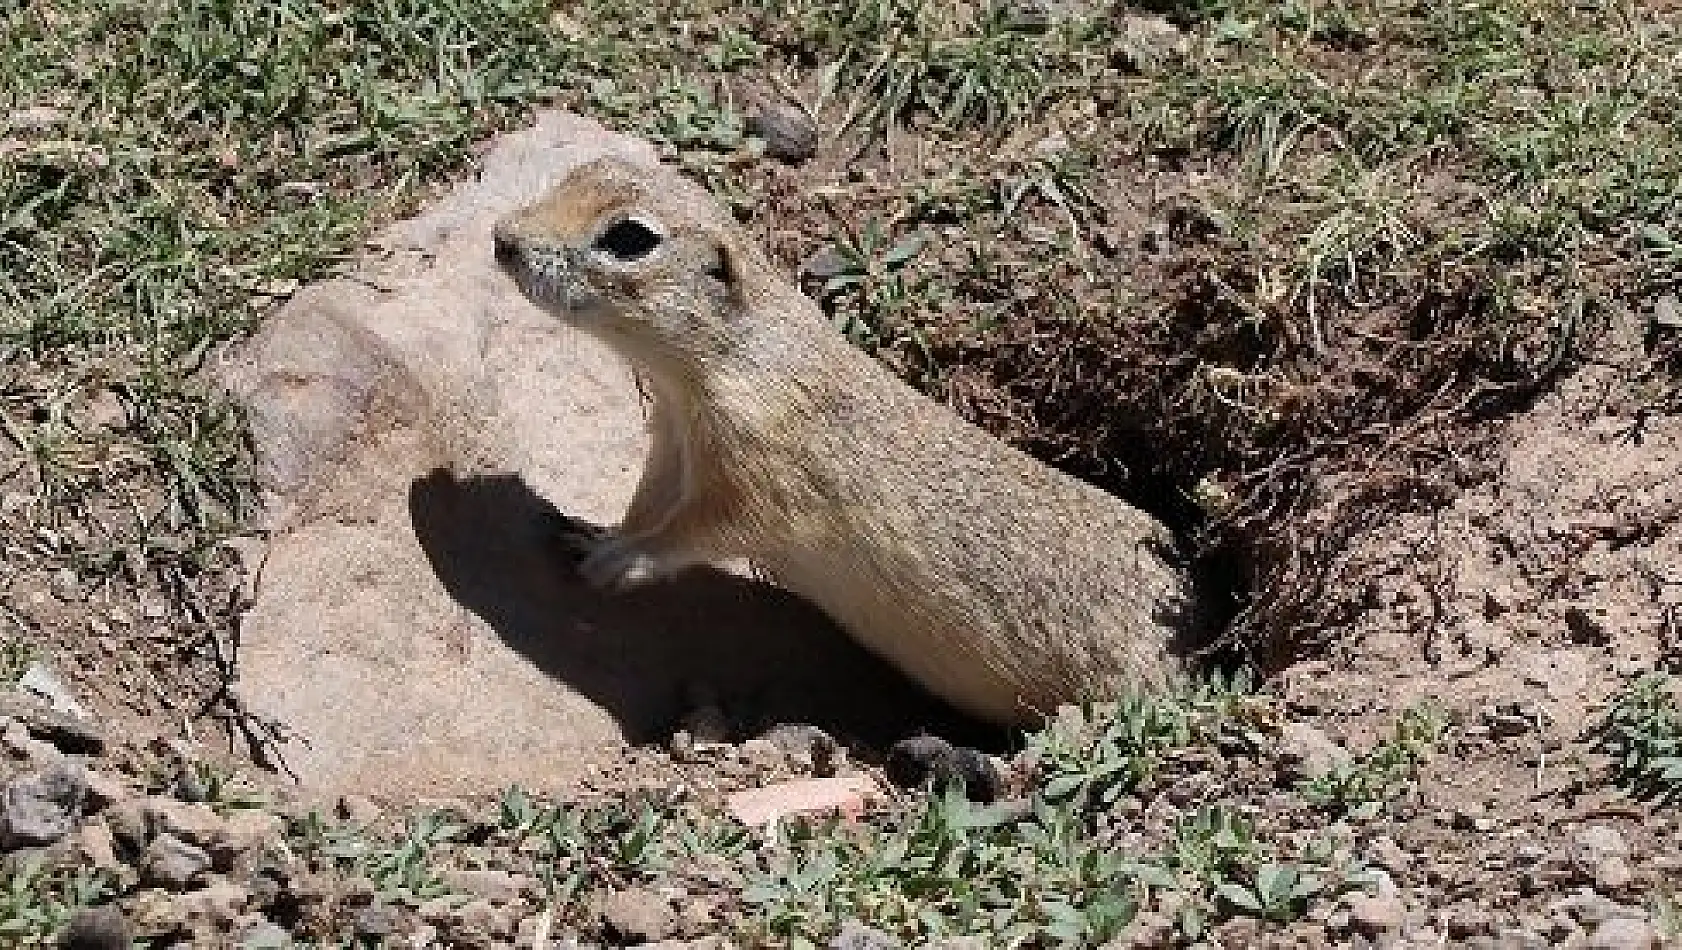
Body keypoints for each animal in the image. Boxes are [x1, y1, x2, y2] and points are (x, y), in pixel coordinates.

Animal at [491, 155, 1204, 723]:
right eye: (576, 173)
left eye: (630, 237)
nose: (502, 239)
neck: (718, 367)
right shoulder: (672, 440)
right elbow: (649, 502)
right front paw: (597, 533)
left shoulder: (761, 467)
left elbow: (703, 529)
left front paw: (618, 562)